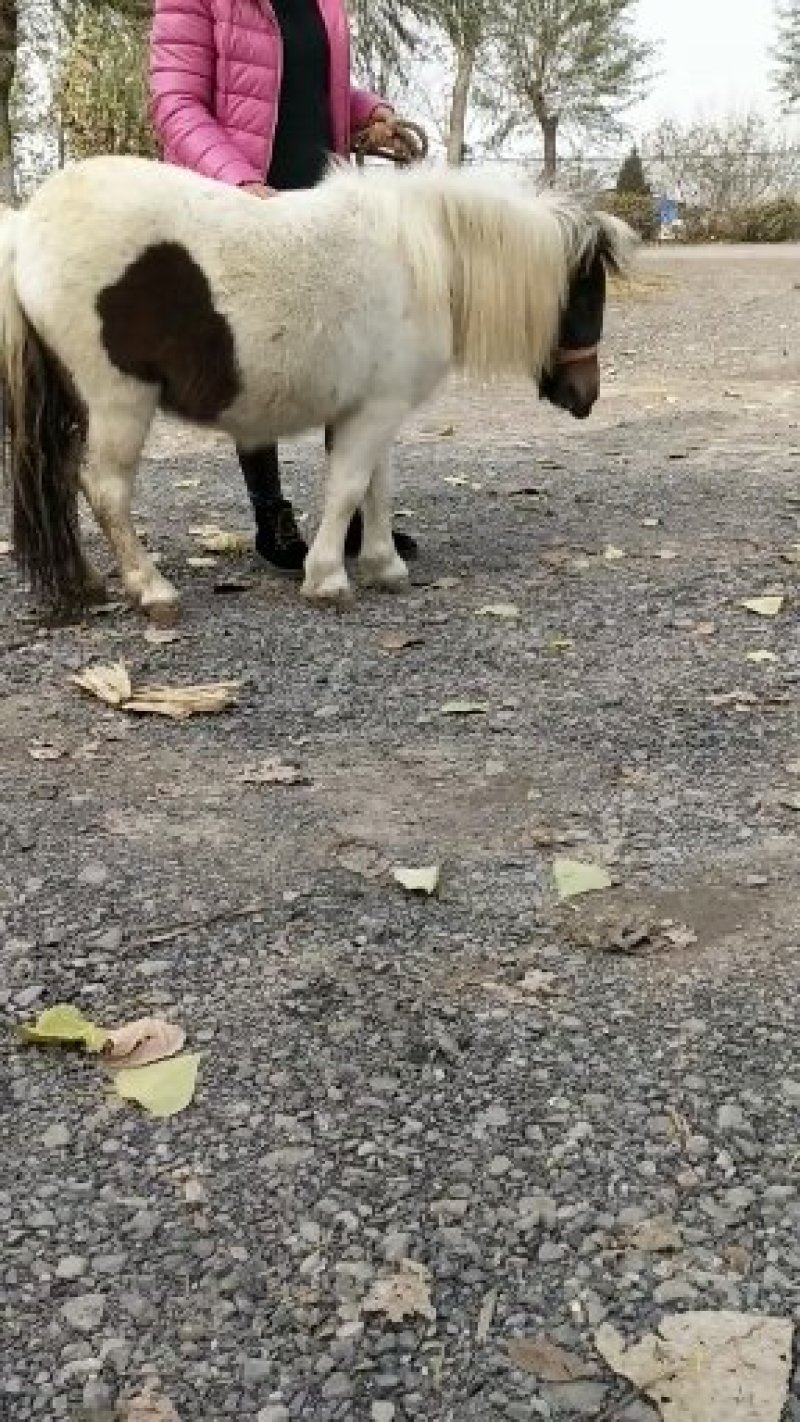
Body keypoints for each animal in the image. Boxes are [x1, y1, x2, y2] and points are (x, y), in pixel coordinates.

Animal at [0, 155, 634, 621]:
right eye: (586, 294)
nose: (586, 395)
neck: (418, 260)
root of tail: (27, 226)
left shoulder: (376, 408)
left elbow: (377, 486)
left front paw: (383, 566)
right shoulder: (375, 412)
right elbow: (349, 488)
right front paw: (329, 578)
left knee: (62, 482)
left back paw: (83, 584)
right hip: (118, 402)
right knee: (105, 489)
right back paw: (151, 589)